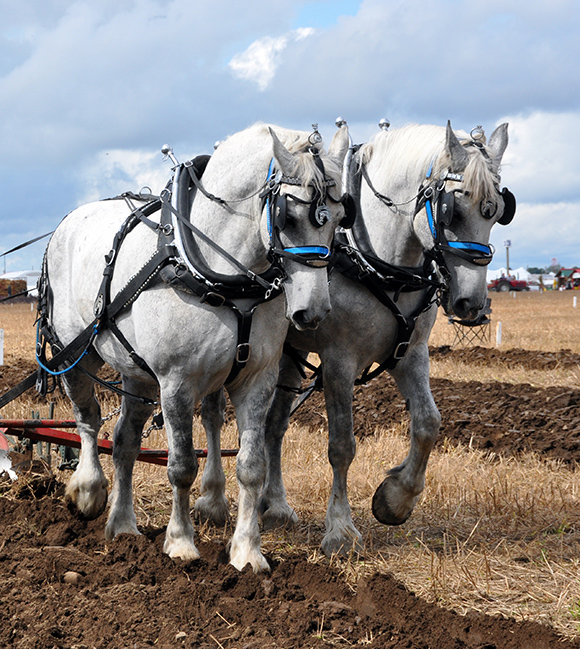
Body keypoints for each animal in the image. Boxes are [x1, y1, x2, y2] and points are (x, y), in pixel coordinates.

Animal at [42, 121, 348, 568]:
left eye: (340, 218)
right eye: (287, 217)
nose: (314, 311)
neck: (224, 275)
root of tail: (68, 220)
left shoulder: (257, 379)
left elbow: (252, 466)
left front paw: (247, 551)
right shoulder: (176, 382)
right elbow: (182, 466)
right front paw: (181, 542)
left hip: (138, 373)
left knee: (124, 441)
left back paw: (123, 525)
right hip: (77, 357)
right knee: (88, 418)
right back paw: (88, 489)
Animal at [197, 120, 516, 552]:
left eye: (499, 210)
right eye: (453, 207)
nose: (472, 304)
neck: (382, 263)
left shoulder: (410, 353)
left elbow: (428, 423)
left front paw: (396, 499)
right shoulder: (338, 361)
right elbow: (342, 446)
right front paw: (341, 530)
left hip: (286, 355)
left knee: (274, 425)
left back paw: (275, 506)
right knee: (213, 415)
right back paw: (212, 501)